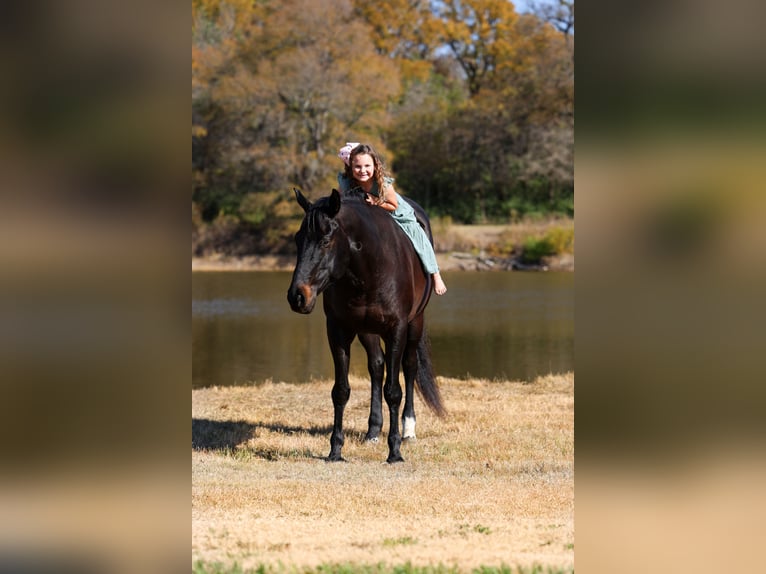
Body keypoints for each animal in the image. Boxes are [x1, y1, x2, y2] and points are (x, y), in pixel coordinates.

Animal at [286, 187, 446, 463]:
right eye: (298, 239)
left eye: (325, 241)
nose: (297, 296)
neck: (371, 267)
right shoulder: (338, 331)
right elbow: (340, 391)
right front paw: (335, 450)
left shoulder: (396, 330)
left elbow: (393, 391)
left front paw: (394, 452)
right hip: (367, 331)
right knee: (377, 367)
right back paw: (373, 431)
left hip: (415, 324)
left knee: (410, 367)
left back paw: (408, 430)